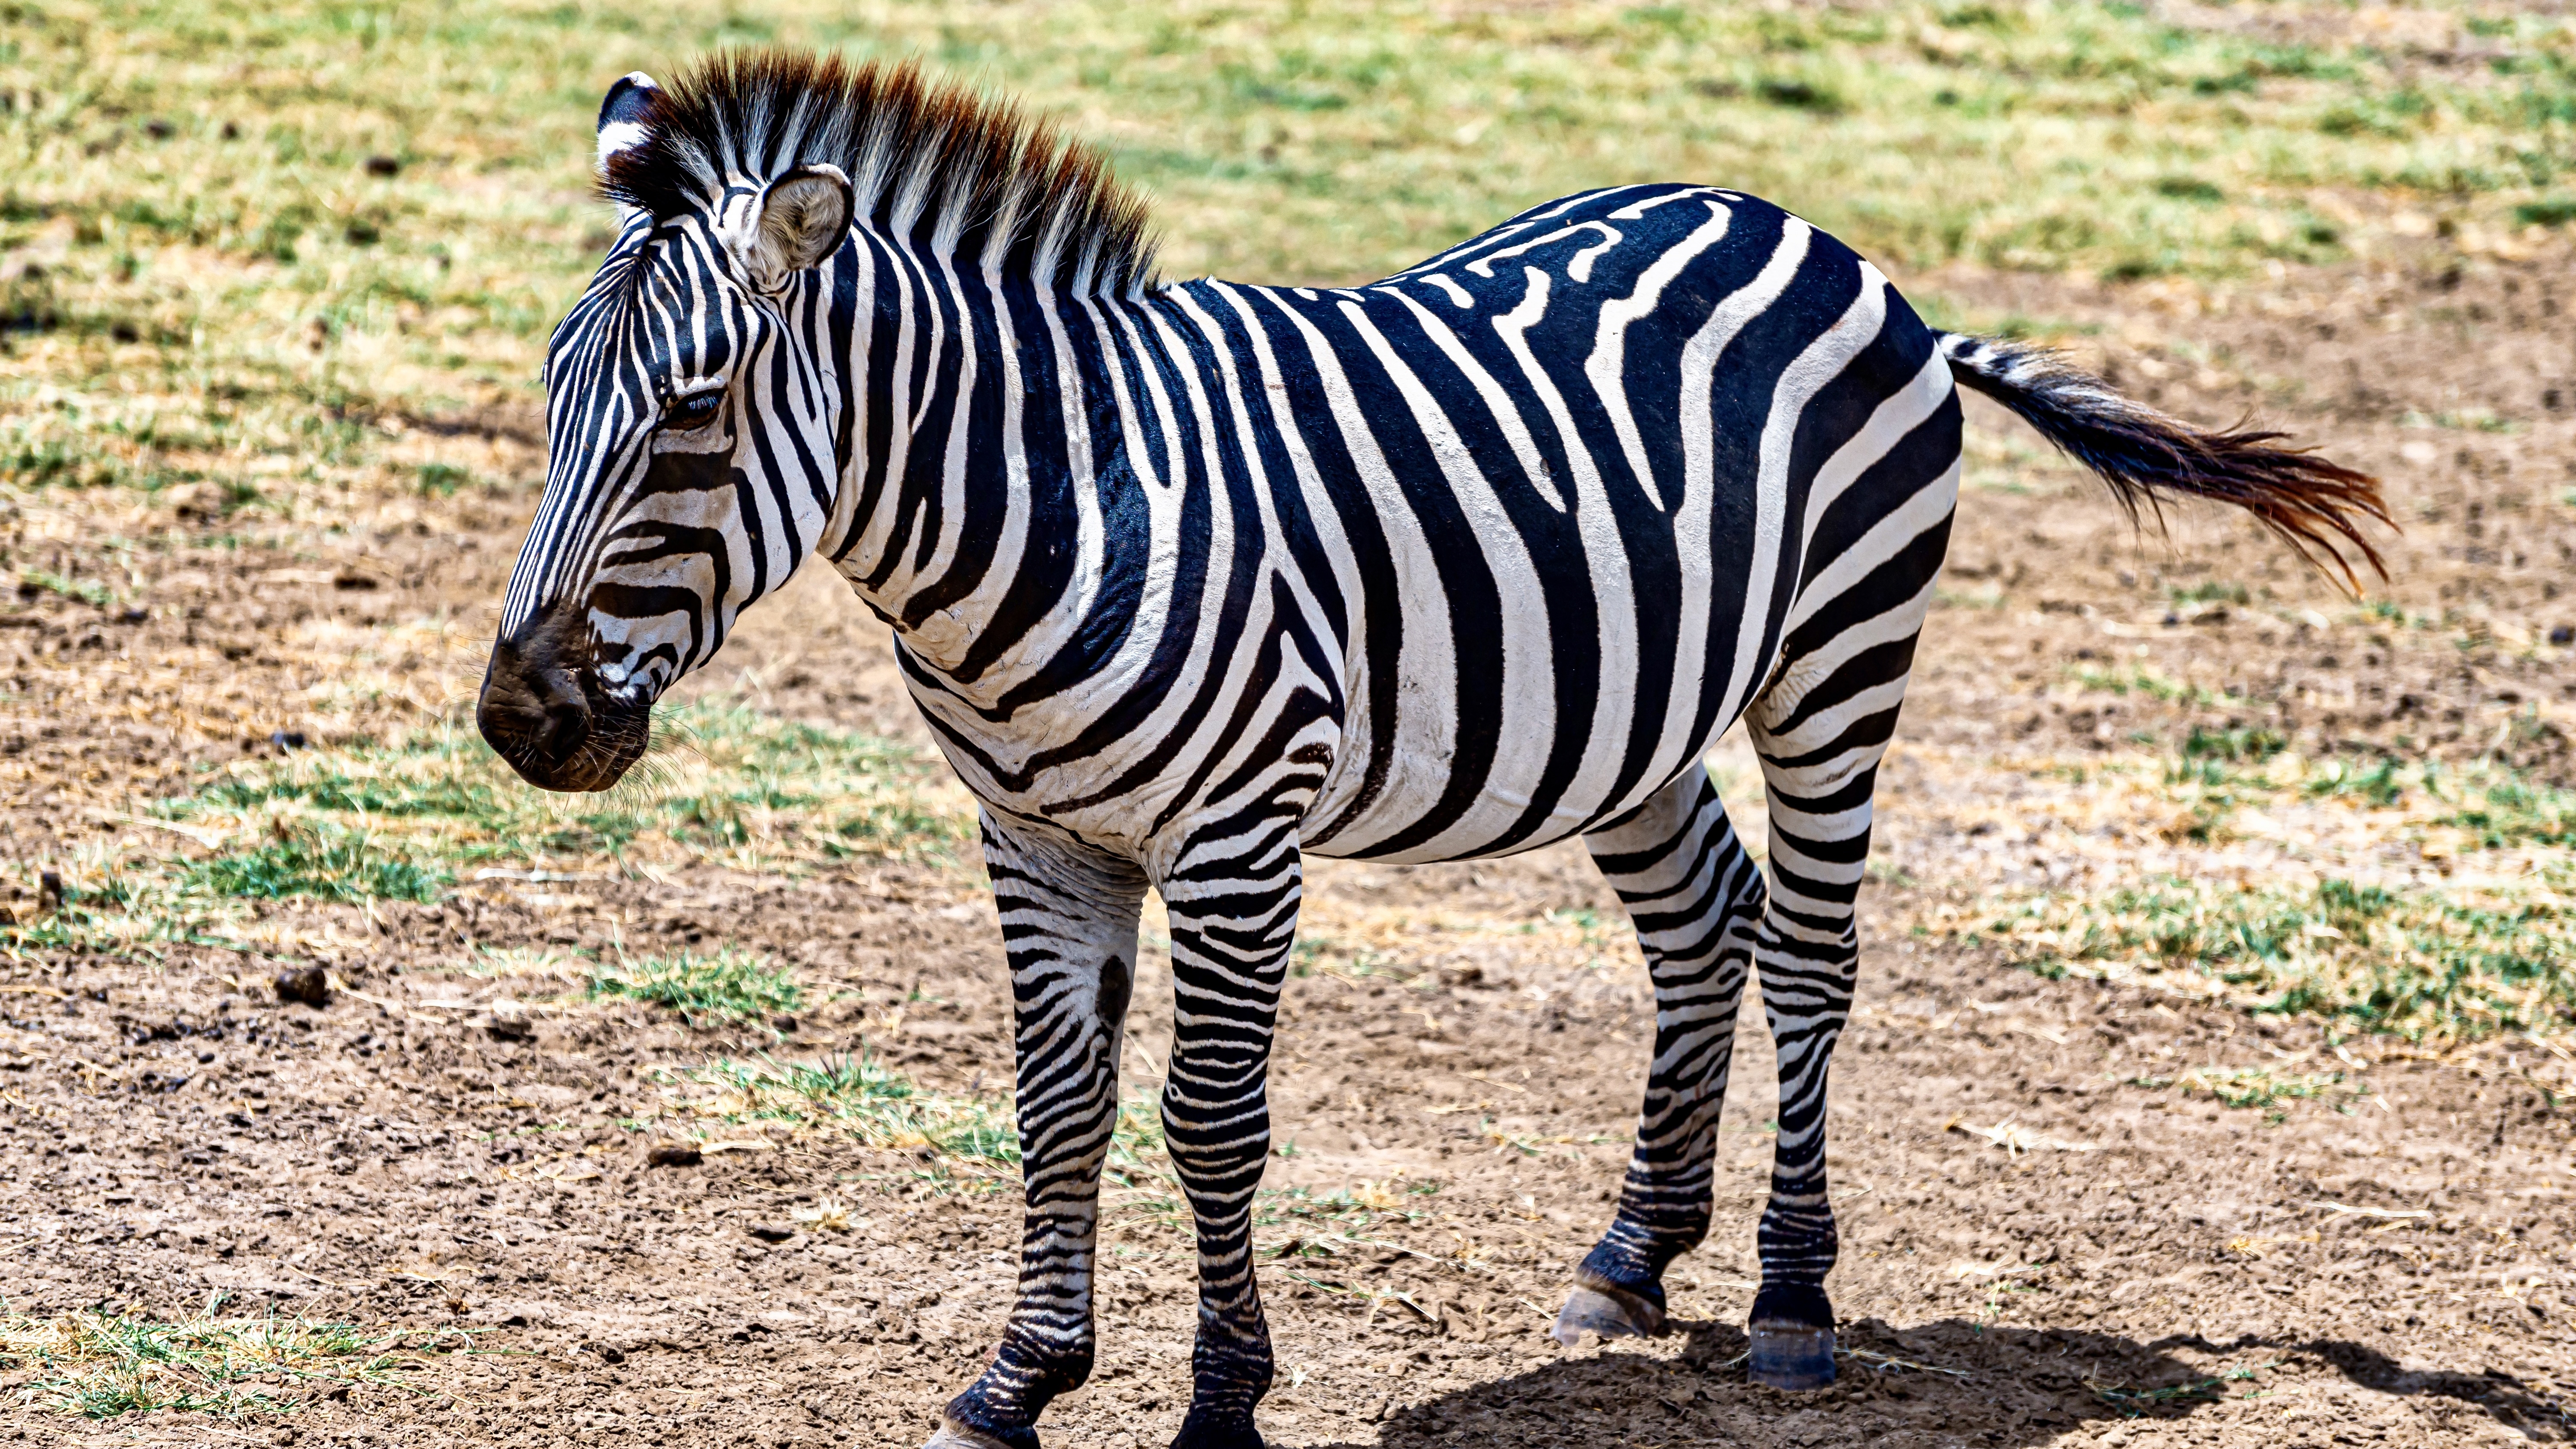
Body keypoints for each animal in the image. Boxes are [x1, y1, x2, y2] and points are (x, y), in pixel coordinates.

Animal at [476, 50, 2385, 1449]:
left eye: (695, 414)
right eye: (555, 394)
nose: (520, 721)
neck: (1061, 499)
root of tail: (1819, 238)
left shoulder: (1238, 834)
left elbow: (1209, 1118)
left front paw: (1222, 1402)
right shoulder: (1036, 835)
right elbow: (1051, 1103)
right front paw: (1017, 1381)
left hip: (1838, 660)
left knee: (1812, 959)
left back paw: (1788, 1302)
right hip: (1632, 713)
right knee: (1704, 929)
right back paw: (1630, 1259)